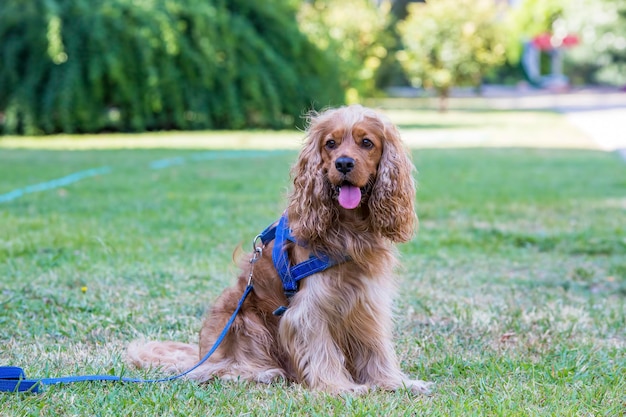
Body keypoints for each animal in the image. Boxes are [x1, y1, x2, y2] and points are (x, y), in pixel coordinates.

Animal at [127, 104, 428, 394]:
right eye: (330, 144)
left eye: (366, 142)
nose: (343, 163)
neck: (349, 228)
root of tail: (202, 356)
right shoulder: (309, 308)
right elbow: (321, 350)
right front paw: (338, 386)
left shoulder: (367, 302)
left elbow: (376, 348)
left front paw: (394, 382)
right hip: (245, 322)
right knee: (219, 370)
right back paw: (264, 373)